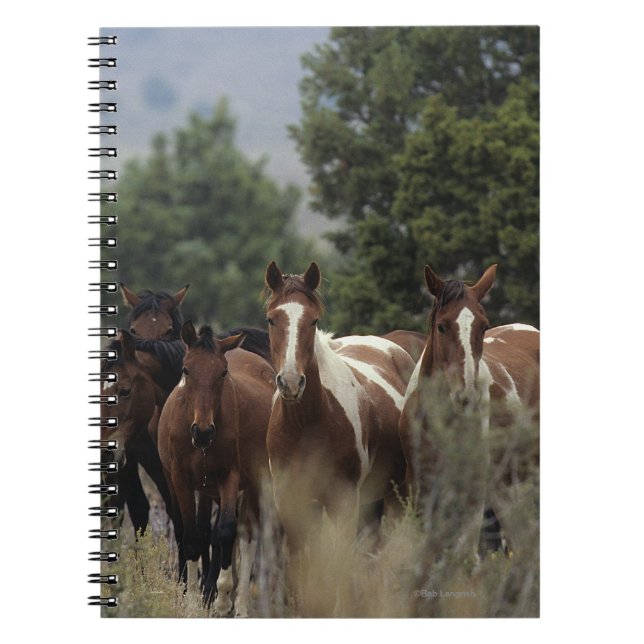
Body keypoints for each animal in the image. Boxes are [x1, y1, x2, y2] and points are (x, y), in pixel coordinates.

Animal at [157, 322, 276, 617]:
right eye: (186, 369)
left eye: (223, 372)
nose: (202, 432)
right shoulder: (181, 480)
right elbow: (191, 536)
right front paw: (191, 601)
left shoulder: (229, 478)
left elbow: (226, 532)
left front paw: (222, 599)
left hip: (254, 482)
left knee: (246, 536)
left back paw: (239, 604)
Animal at [264, 261, 415, 613]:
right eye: (271, 319)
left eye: (313, 320)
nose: (291, 382)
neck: (307, 426)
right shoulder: (292, 504)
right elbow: (301, 574)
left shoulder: (344, 502)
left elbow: (341, 571)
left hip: (394, 497)